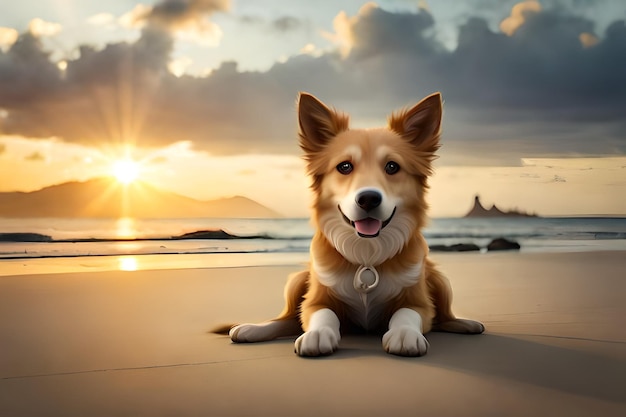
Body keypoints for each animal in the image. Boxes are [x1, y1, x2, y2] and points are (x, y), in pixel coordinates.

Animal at [221, 92, 482, 356]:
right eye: (344, 166)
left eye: (392, 166)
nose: (368, 199)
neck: (367, 253)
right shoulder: (315, 299)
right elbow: (322, 314)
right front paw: (317, 334)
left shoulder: (419, 301)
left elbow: (406, 313)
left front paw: (404, 334)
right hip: (297, 280)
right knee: (285, 319)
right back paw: (252, 329)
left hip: (439, 279)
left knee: (445, 316)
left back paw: (466, 324)